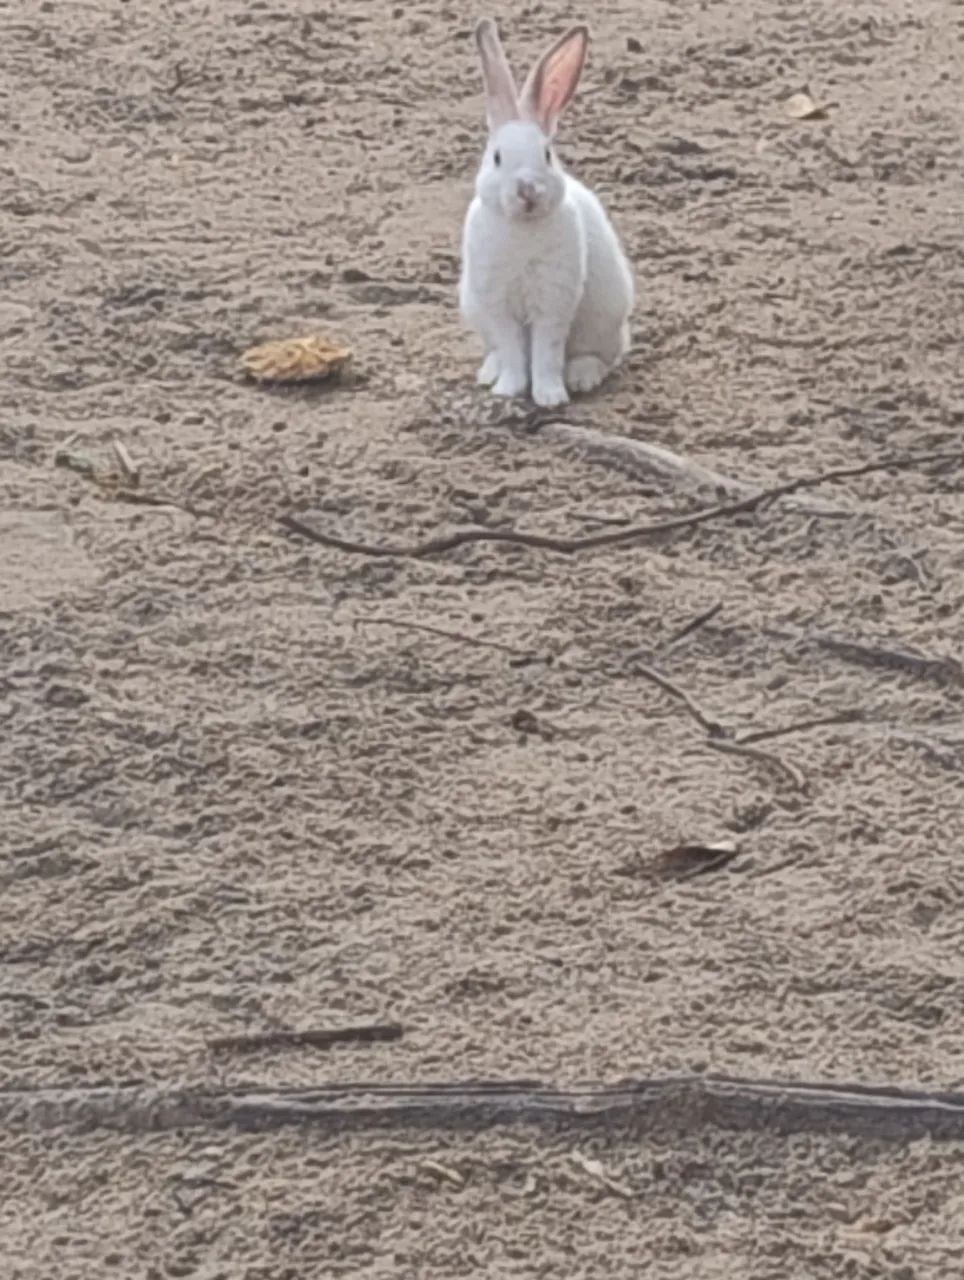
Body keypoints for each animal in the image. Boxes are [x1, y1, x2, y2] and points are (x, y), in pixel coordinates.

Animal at [459, 18, 634, 409]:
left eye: (547, 155)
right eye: (497, 158)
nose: (527, 190)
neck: (522, 228)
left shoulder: (553, 301)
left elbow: (546, 353)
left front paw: (550, 397)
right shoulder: (497, 303)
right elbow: (512, 351)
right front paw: (508, 389)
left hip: (604, 320)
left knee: (598, 355)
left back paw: (582, 376)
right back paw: (489, 372)